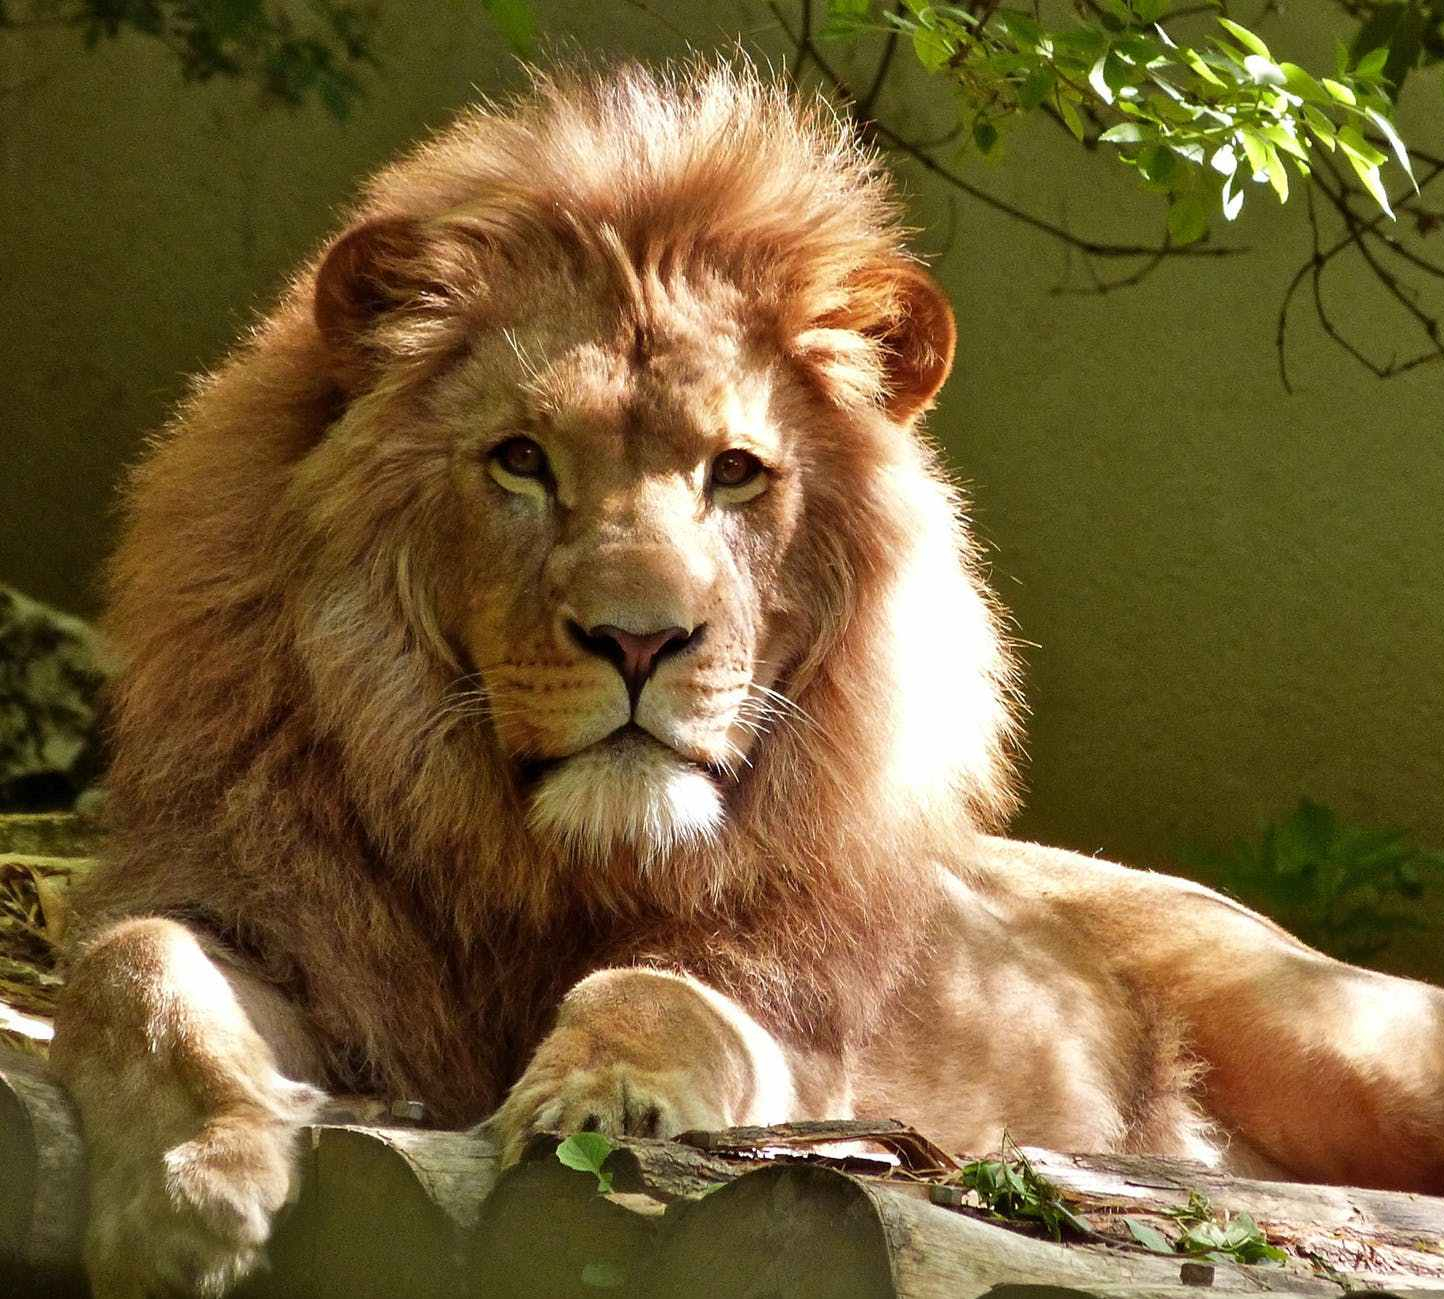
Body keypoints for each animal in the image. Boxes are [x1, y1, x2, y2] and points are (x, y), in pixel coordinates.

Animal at [50, 62, 1444, 1298]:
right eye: (521, 459)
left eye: (734, 472)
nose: (638, 640)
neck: (538, 863)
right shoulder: (277, 919)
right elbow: (132, 963)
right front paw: (190, 1184)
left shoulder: (799, 1037)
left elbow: (664, 995)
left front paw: (604, 1096)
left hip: (1335, 1034)